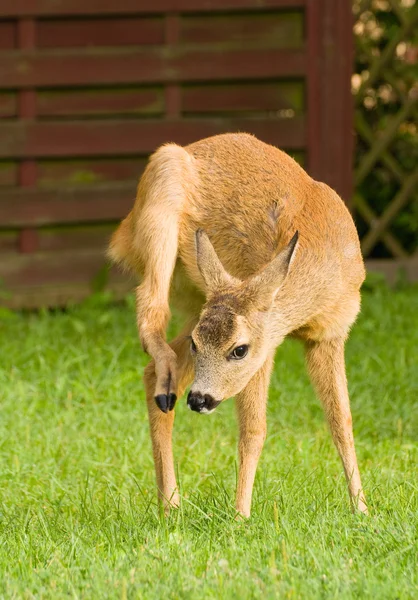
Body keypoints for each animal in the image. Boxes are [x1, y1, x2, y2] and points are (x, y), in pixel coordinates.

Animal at [109, 134, 368, 516]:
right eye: (199, 345)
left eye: (238, 349)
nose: (199, 399)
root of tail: (122, 233)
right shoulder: (268, 347)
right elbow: (254, 429)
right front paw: (241, 515)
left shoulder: (330, 334)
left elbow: (342, 421)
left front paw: (361, 508)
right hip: (158, 206)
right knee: (151, 310)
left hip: (197, 303)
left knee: (150, 371)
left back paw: (169, 504)